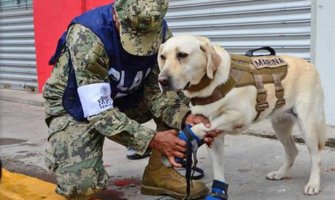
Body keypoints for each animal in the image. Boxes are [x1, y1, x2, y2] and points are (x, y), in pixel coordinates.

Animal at [158, 35, 328, 198]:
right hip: (280, 125)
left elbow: (199, 128)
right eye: (162, 57)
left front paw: (181, 140)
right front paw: (218, 192)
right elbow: (217, 170)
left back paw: (313, 184)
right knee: (293, 151)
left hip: (307, 124)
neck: (209, 85)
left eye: (182, 55)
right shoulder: (214, 137)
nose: (162, 80)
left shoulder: (240, 116)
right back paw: (280, 173)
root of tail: (310, 64)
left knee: (316, 155)